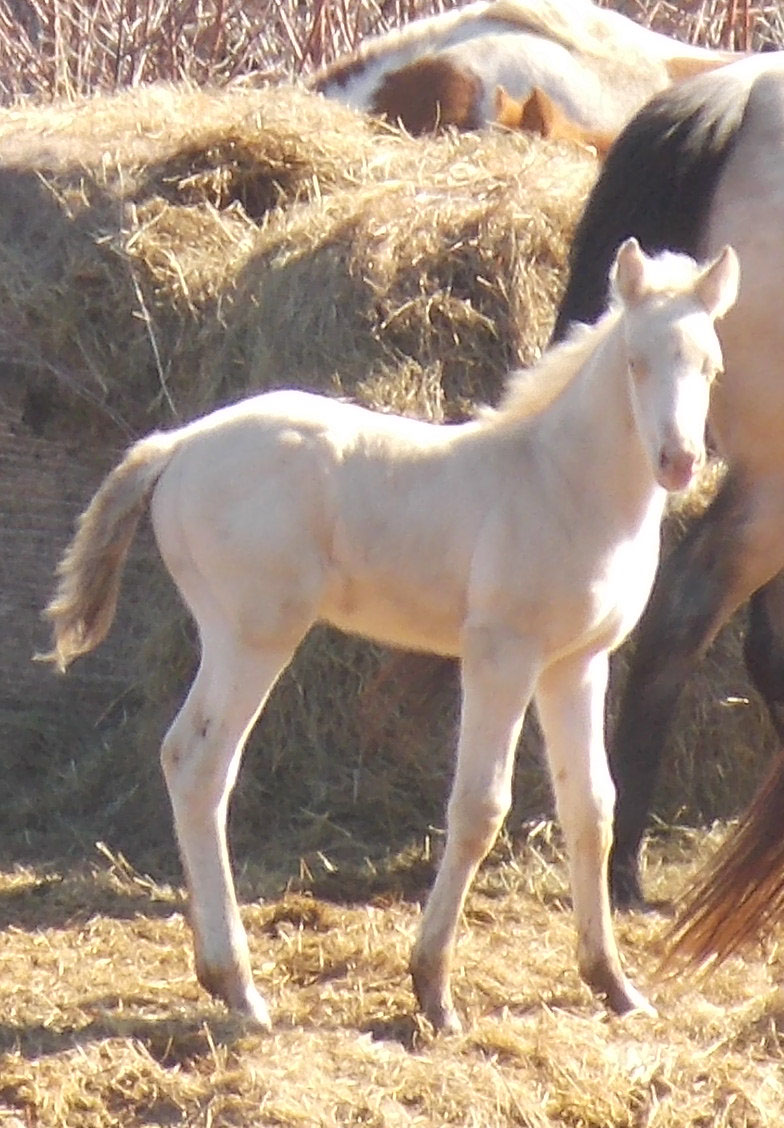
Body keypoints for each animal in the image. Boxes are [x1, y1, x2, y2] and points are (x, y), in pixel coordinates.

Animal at [42, 239, 737, 1032]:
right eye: (634, 361)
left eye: (710, 365)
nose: (679, 461)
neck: (559, 483)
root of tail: (179, 443)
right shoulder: (501, 655)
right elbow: (478, 808)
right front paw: (433, 990)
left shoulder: (576, 664)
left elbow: (591, 808)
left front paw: (613, 984)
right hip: (254, 635)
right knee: (201, 763)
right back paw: (241, 989)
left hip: (236, 634)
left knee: (185, 757)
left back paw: (221, 977)